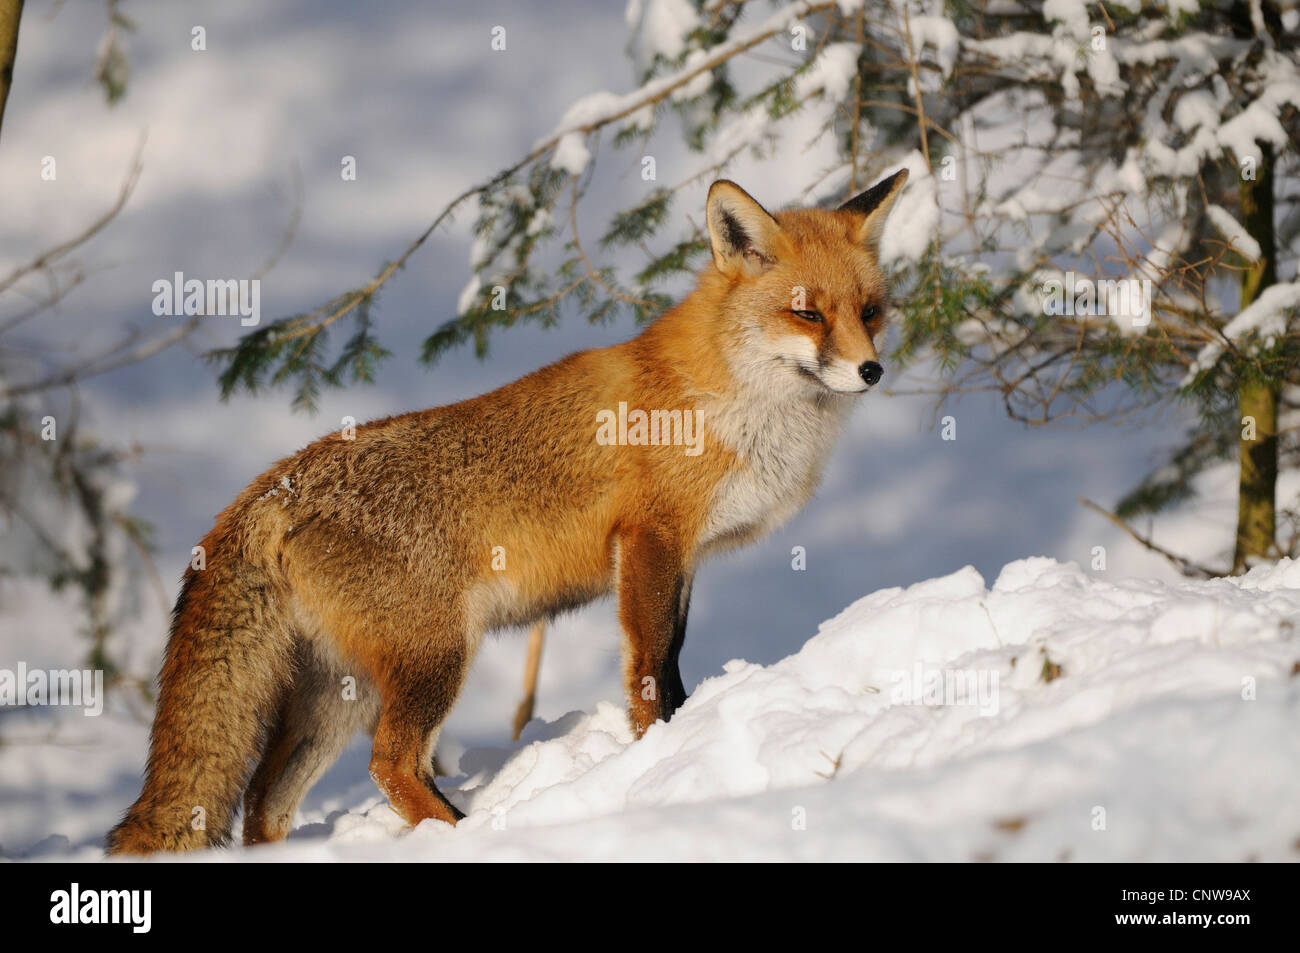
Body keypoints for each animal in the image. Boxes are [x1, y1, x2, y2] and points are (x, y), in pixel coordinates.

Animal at [106, 171, 909, 852]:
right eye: (807, 312)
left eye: (870, 312)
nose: (870, 370)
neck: (732, 402)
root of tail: (274, 484)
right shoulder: (651, 540)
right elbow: (650, 670)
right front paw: (654, 750)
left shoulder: (682, 559)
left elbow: (675, 663)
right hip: (433, 657)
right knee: (389, 765)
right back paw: (467, 835)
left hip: (339, 690)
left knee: (266, 801)